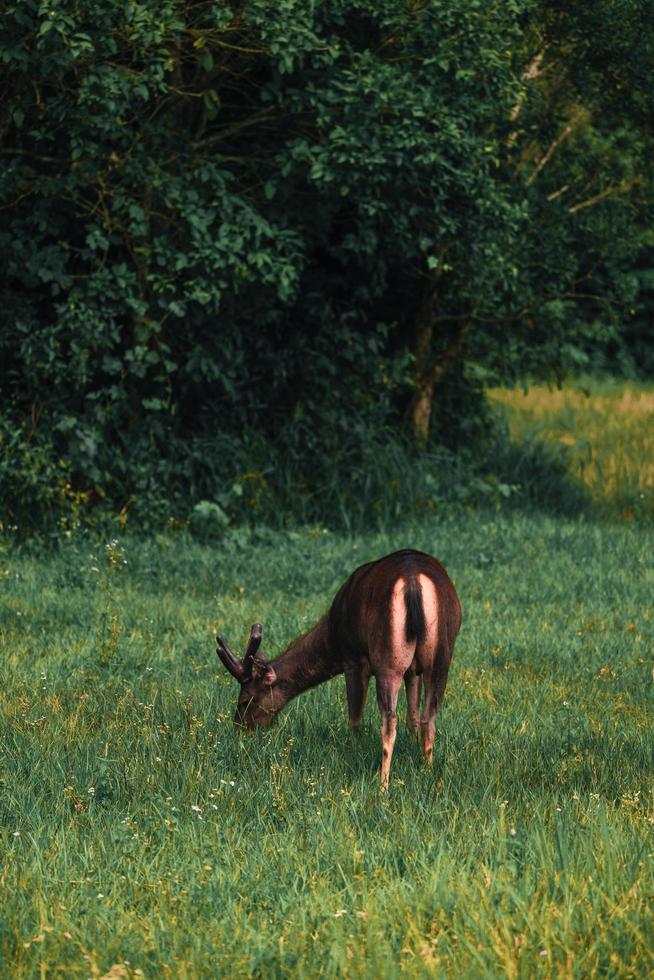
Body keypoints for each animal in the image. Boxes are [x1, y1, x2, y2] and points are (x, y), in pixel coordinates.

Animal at [215, 548, 462, 792]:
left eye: (245, 700)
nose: (239, 730)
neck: (333, 637)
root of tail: (413, 582)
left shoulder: (353, 659)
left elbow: (355, 719)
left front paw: (353, 752)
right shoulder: (412, 669)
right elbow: (413, 714)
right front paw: (412, 749)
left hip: (386, 656)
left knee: (389, 720)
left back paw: (383, 786)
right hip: (441, 658)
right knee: (428, 717)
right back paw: (427, 772)